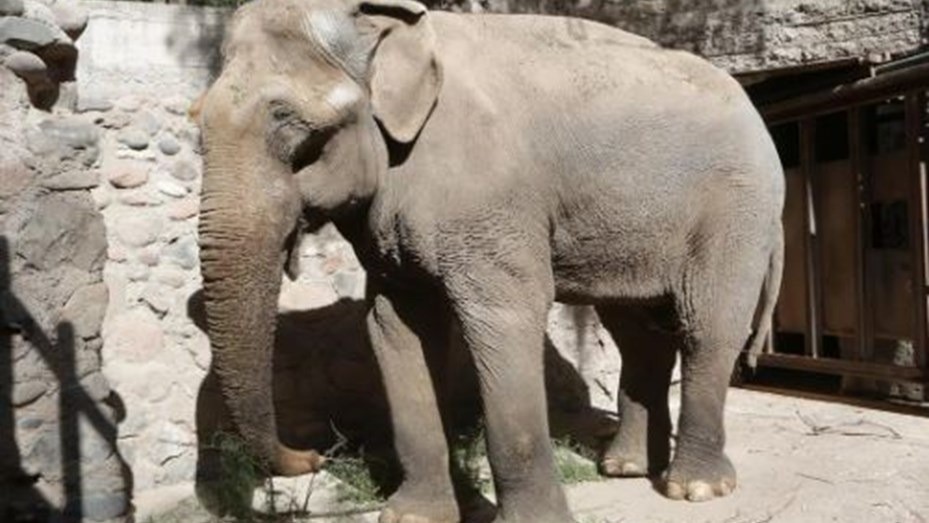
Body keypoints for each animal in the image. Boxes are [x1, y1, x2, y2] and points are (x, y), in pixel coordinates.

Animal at [193, 0, 785, 521]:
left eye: (291, 124)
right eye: (196, 121)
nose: (316, 455)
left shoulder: (490, 197)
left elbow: (503, 318)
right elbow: (395, 326)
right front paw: (413, 516)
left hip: (737, 206)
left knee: (707, 326)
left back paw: (695, 488)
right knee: (638, 333)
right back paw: (626, 468)